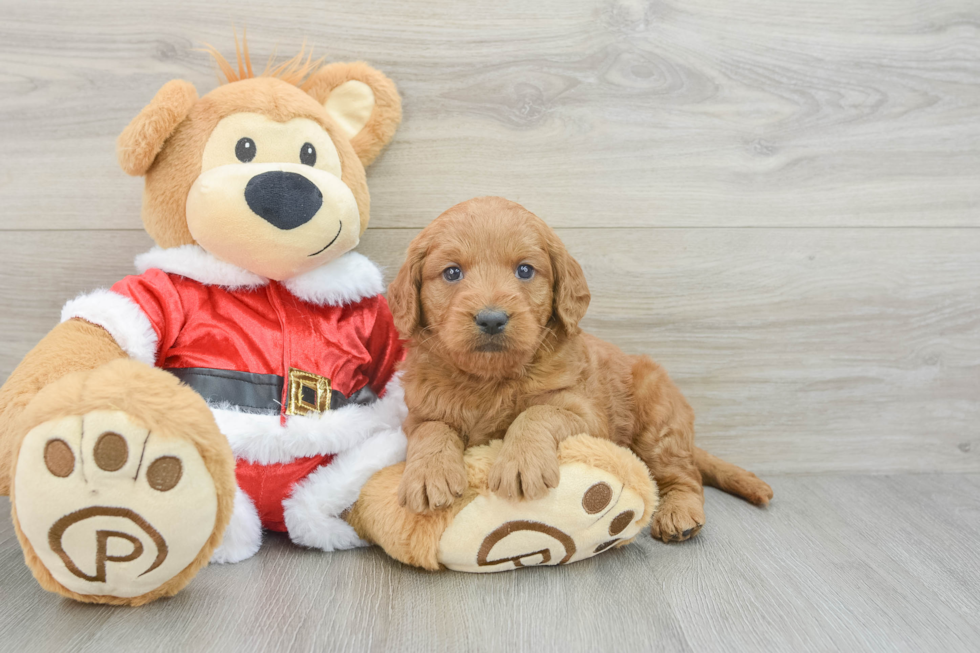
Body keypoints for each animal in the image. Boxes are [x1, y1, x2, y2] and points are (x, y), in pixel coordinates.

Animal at [390, 196, 772, 544]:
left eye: (524, 270)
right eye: (452, 272)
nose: (492, 319)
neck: (491, 378)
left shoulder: (589, 416)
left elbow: (536, 413)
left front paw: (520, 462)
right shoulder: (418, 412)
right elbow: (432, 429)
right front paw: (429, 474)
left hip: (658, 423)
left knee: (686, 476)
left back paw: (679, 513)